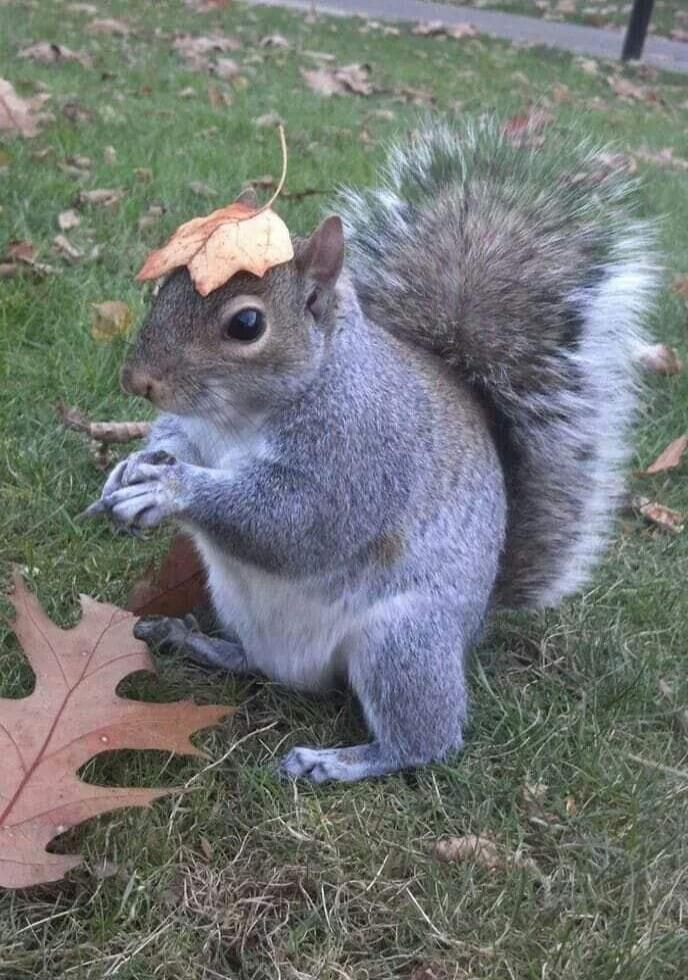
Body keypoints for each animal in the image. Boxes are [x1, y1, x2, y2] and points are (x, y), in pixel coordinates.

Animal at [87, 119, 658, 783]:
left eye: (247, 324)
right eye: (167, 286)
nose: (137, 381)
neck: (241, 418)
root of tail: (476, 622)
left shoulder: (359, 454)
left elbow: (297, 522)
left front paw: (171, 489)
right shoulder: (195, 428)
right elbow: (172, 441)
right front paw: (130, 471)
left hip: (403, 643)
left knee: (426, 741)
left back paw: (338, 761)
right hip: (240, 605)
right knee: (258, 663)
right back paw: (198, 642)